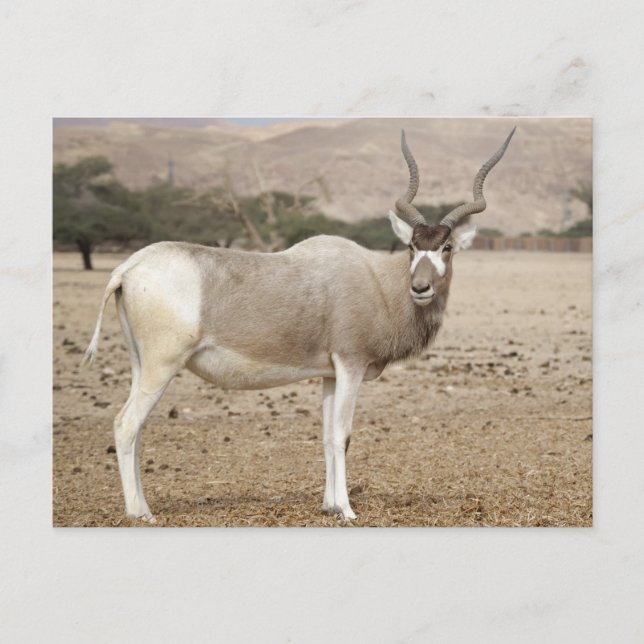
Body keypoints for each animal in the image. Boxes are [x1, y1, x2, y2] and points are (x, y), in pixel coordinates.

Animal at [83, 127, 516, 522]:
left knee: (137, 428)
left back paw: (142, 506)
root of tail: (129, 267)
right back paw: (139, 513)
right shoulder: (350, 365)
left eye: (446, 247)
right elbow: (342, 434)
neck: (375, 279)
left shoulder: (329, 373)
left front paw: (329, 505)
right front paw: (347, 510)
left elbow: (327, 436)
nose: (421, 287)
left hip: (140, 364)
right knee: (126, 424)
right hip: (162, 365)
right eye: (412, 246)